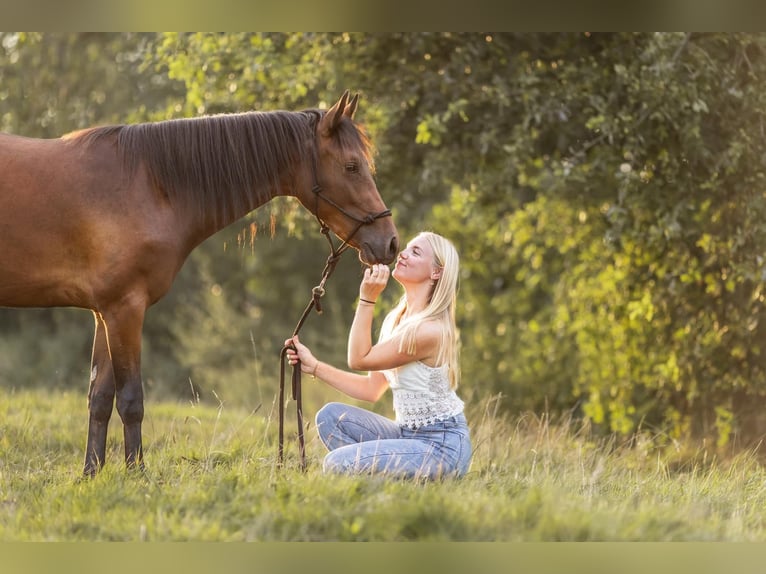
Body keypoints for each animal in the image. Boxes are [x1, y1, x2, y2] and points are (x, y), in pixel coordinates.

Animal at [0, 91, 399, 475]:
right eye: (351, 166)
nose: (391, 242)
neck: (147, 185)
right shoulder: (124, 308)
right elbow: (130, 399)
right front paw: (137, 475)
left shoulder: (104, 312)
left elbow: (99, 398)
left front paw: (90, 474)